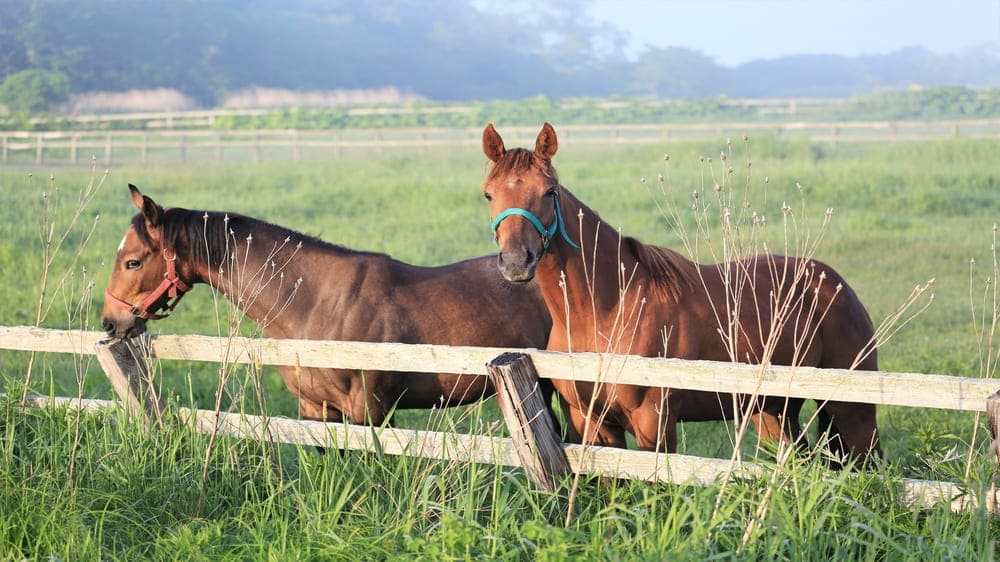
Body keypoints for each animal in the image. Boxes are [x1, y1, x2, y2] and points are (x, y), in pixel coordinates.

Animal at [480, 122, 881, 466]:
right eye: (488, 193)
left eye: (548, 191)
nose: (516, 261)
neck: (606, 312)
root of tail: (835, 285)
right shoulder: (591, 424)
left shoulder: (653, 422)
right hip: (774, 410)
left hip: (853, 413)